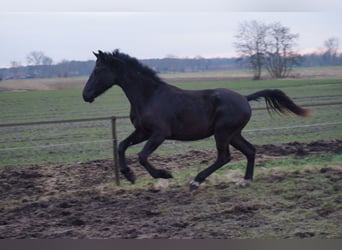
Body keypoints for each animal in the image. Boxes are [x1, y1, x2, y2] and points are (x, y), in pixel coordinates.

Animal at [83, 49, 310, 190]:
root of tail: (244, 98)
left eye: (98, 69)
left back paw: (196, 181)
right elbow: (121, 146)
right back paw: (245, 181)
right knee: (250, 151)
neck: (149, 96)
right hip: (234, 134)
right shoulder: (142, 132)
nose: (85, 95)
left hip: (223, 133)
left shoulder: (159, 133)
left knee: (224, 157)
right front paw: (129, 175)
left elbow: (142, 156)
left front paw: (165, 174)